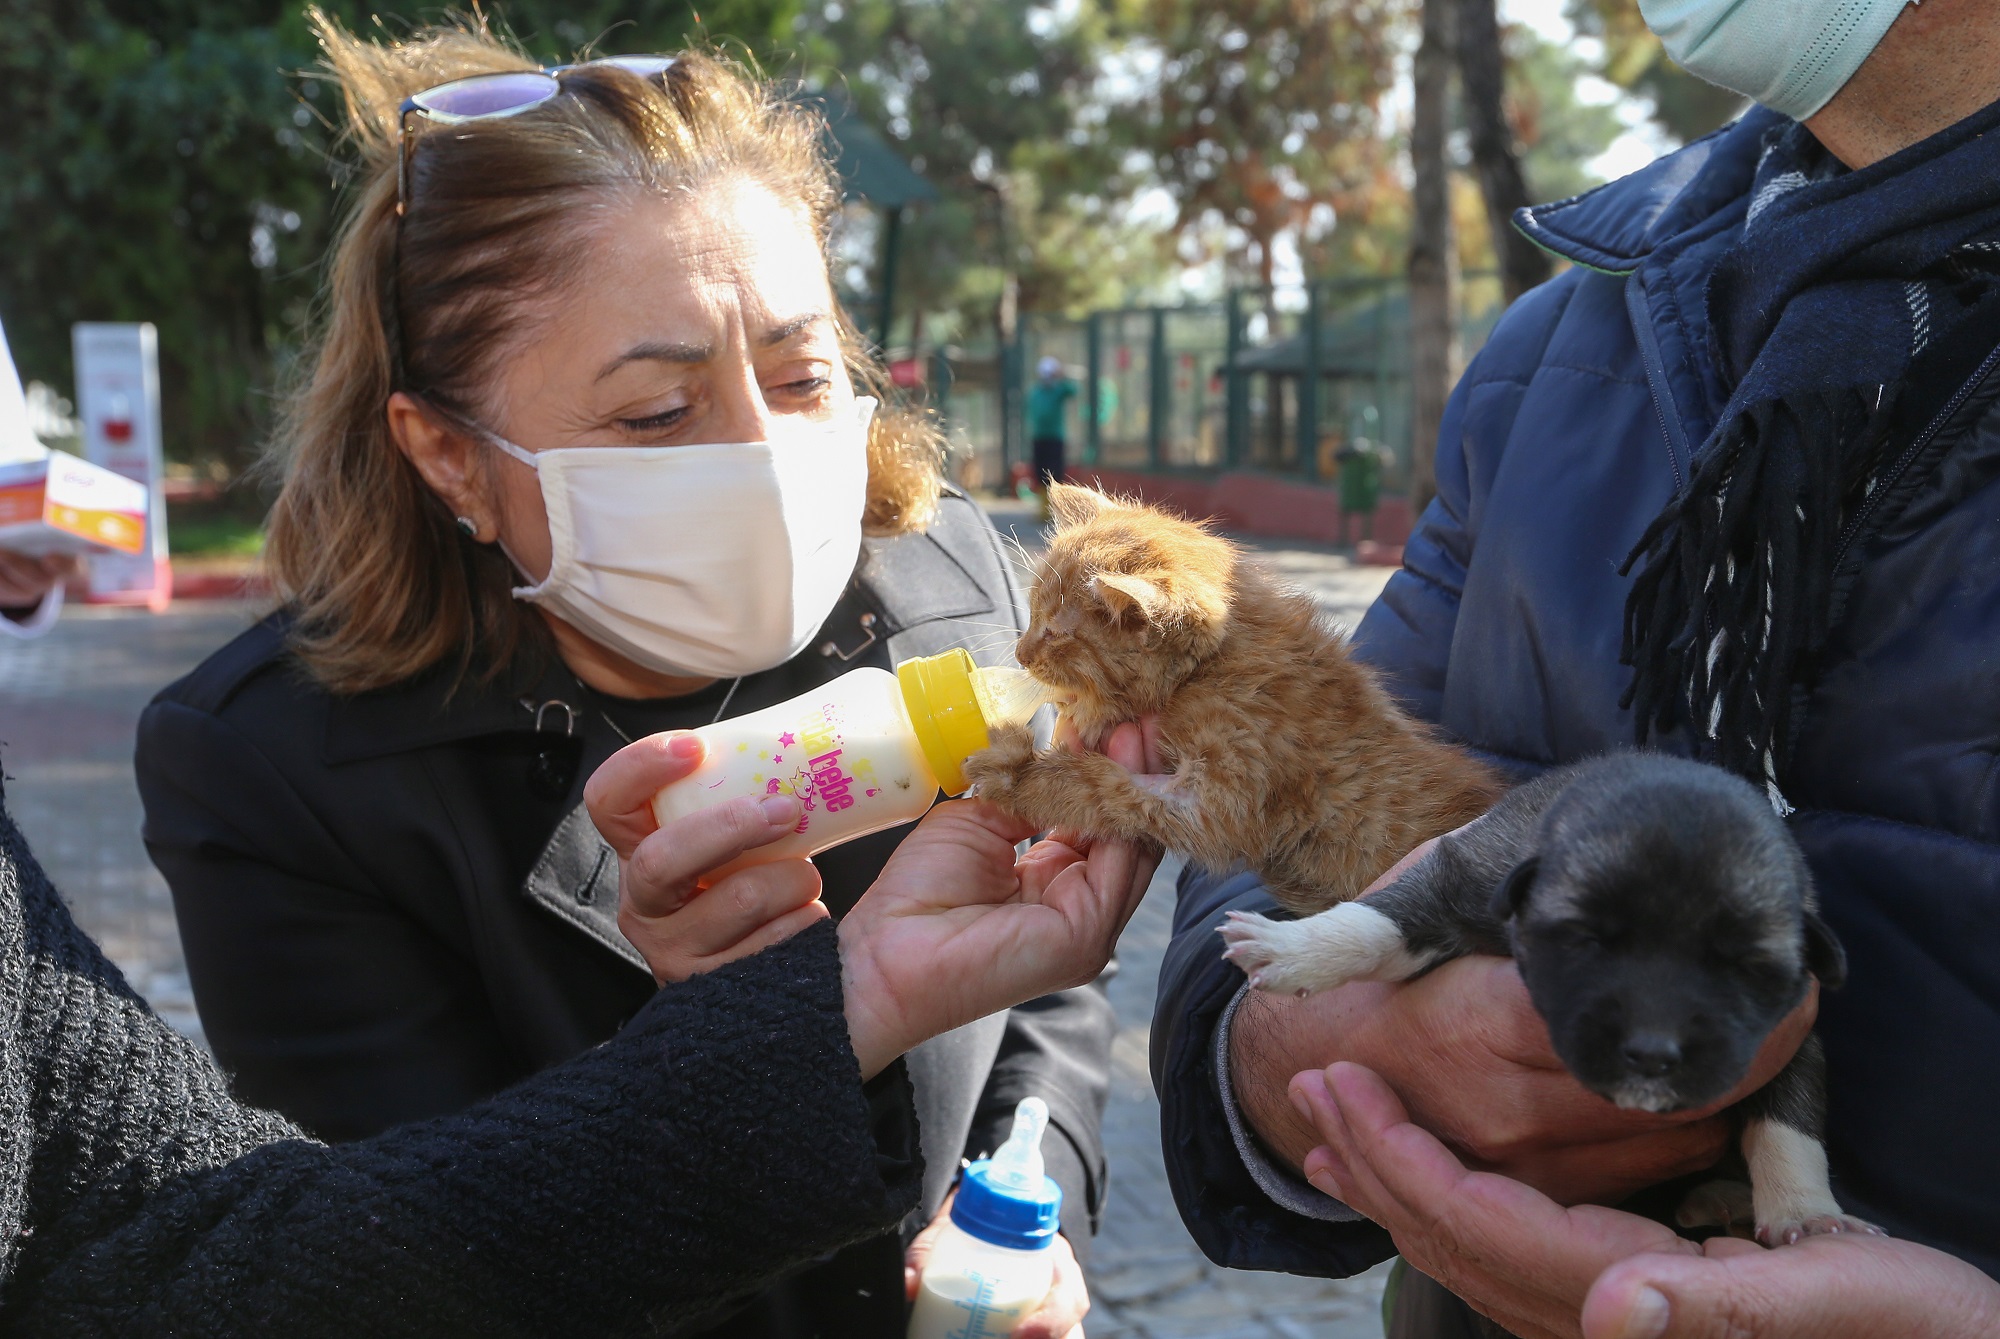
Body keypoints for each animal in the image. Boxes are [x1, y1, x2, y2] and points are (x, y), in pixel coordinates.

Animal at [968, 483, 1504, 911]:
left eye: (1057, 634)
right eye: (1033, 612)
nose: (1020, 653)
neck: (1217, 664)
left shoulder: (1224, 802)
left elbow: (1107, 789)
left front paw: (1020, 774)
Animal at [1208, 755, 1880, 1247]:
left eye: (1743, 967)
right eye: (1588, 940)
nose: (1653, 1054)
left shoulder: (1789, 1036)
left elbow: (1789, 1122)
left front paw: (1804, 1211)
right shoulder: (1459, 880)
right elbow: (1381, 918)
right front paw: (1295, 946)